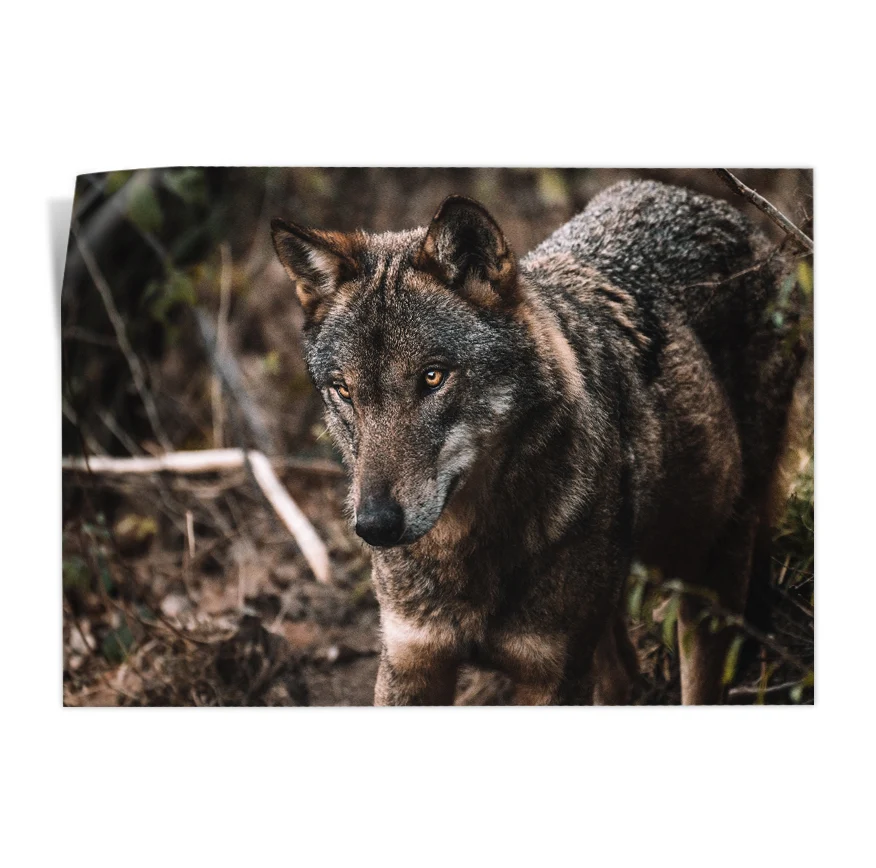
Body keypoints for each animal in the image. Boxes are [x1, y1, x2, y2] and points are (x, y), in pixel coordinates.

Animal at [271, 179, 804, 705]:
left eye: (433, 377)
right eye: (344, 390)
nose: (375, 526)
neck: (468, 551)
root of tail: (704, 200)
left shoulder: (552, 676)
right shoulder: (411, 663)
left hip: (710, 571)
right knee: (622, 673)